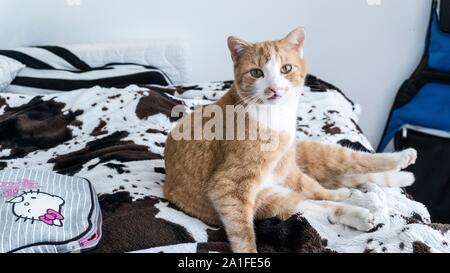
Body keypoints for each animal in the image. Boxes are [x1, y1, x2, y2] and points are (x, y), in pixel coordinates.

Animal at [163, 28, 418, 252]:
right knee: (313, 204)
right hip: (268, 199)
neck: (274, 116)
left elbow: (314, 186)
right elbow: (243, 232)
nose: (274, 89)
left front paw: (345, 194)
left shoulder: (287, 166)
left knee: (343, 171)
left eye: (286, 69)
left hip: (307, 157)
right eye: (257, 73)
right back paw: (361, 208)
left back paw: (383, 177)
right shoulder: (227, 187)